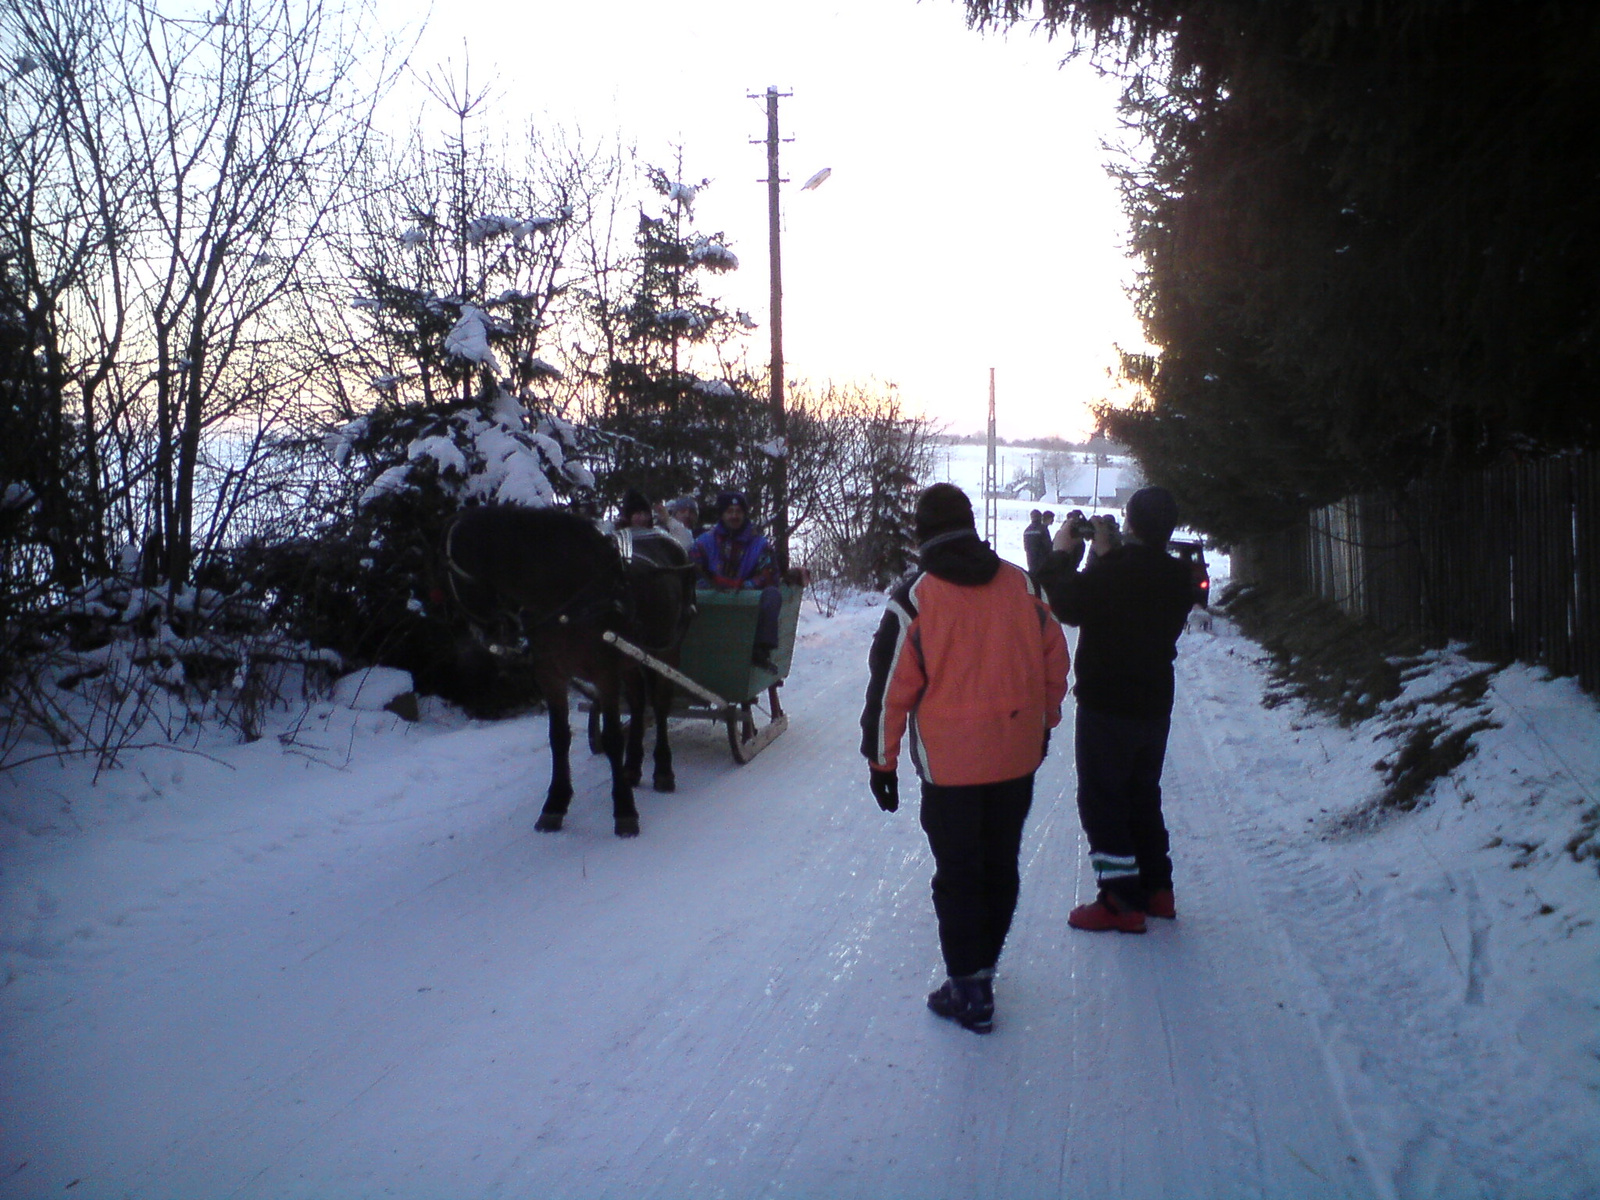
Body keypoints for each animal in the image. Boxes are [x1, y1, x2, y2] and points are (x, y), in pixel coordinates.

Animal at [448, 505, 697, 838]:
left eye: (454, 573)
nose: (484, 637)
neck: (570, 595)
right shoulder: (550, 677)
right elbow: (558, 737)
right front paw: (555, 803)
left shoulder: (605, 675)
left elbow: (611, 737)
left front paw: (624, 810)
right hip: (631, 660)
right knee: (637, 702)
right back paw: (632, 767)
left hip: (667, 651)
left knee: (659, 706)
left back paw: (663, 770)